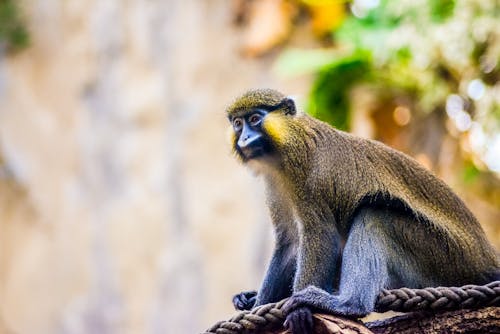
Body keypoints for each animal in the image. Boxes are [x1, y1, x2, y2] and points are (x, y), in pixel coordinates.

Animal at [226, 88, 500, 334]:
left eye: (255, 119)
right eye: (238, 124)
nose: (244, 139)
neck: (285, 146)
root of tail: (486, 259)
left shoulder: (306, 177)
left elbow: (320, 234)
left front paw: (299, 311)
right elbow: (290, 243)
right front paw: (257, 308)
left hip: (446, 257)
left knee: (375, 216)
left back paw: (348, 304)